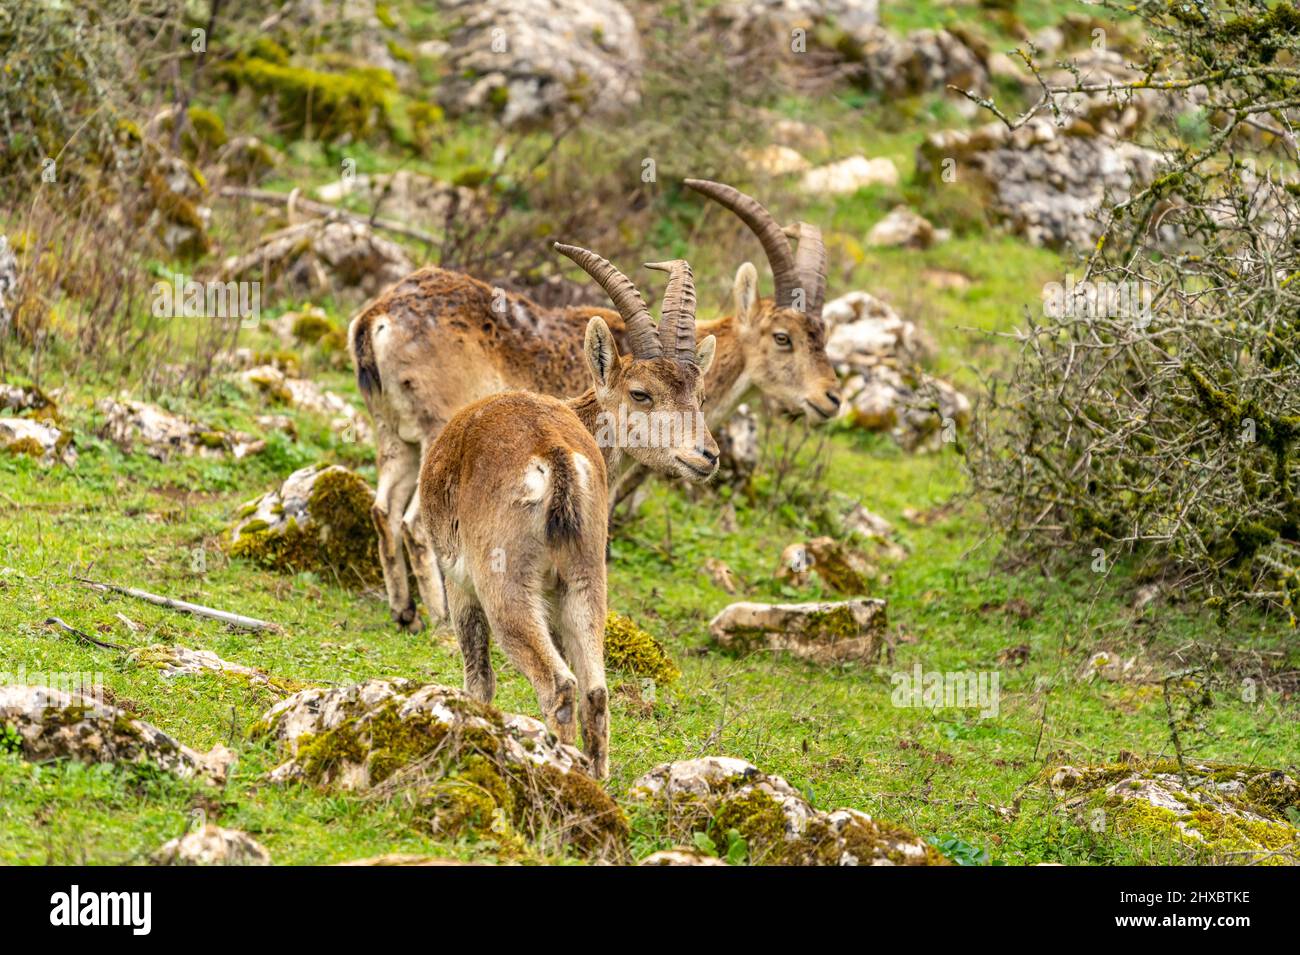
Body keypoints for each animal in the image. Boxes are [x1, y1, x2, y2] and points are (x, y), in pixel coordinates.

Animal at [349, 180, 836, 630]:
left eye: (697, 395)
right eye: (783, 337)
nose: (831, 398)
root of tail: (376, 318)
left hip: (395, 436)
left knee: (383, 510)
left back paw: (405, 611)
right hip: (434, 431)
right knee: (414, 524)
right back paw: (440, 619)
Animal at [418, 246, 717, 778]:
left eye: (699, 396)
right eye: (641, 393)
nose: (708, 456)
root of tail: (555, 454)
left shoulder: (460, 584)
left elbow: (479, 677)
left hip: (508, 584)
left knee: (558, 685)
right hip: (586, 576)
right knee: (596, 692)